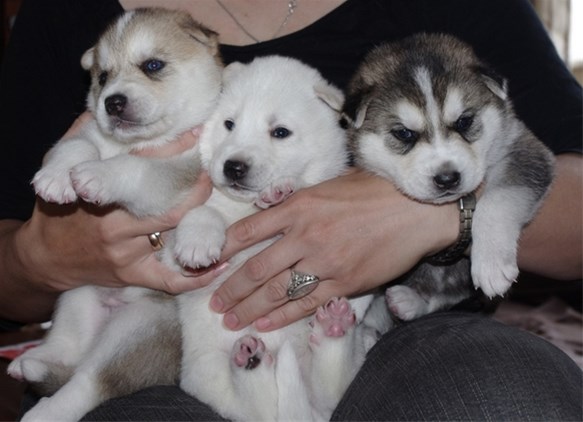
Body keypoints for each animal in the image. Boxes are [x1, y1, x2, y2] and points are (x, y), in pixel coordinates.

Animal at [9, 9, 224, 422]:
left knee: (91, 381)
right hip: (76, 294)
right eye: (103, 77)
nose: (112, 102)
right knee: (69, 351)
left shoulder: (177, 171)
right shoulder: (87, 132)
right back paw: (32, 362)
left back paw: (47, 410)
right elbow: (75, 147)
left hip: (138, 327)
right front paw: (56, 178)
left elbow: (133, 169)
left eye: (153, 65)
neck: (137, 144)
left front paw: (97, 176)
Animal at [344, 33, 556, 320]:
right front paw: (354, 298)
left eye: (464, 121)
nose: (447, 179)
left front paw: (491, 264)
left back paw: (409, 301)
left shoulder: (523, 151)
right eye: (404, 133)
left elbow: (497, 202)